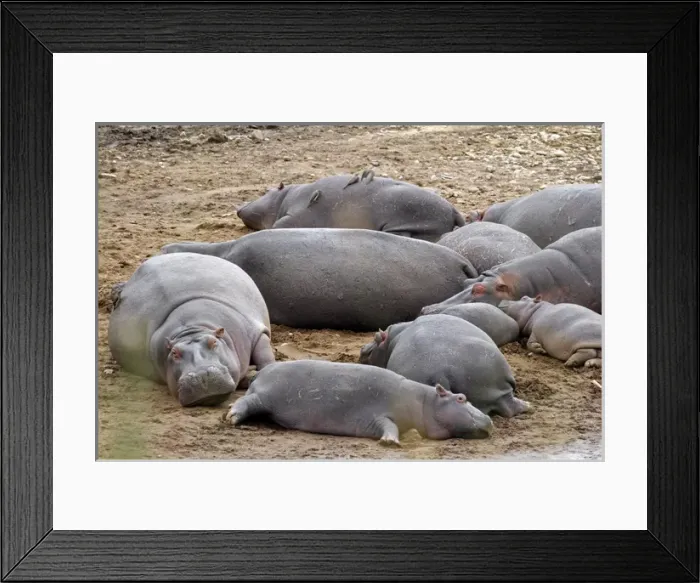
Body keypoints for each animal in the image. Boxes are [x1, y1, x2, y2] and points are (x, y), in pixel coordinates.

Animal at [108, 253, 275, 406]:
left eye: (213, 342)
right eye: (174, 353)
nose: (201, 375)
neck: (192, 328)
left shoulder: (256, 331)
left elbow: (265, 356)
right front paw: (252, 372)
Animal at [223, 360, 494, 444]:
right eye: (461, 398)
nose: (490, 419)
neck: (424, 400)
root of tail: (262, 371)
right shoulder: (378, 414)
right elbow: (389, 426)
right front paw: (390, 442)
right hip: (265, 396)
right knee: (246, 402)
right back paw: (230, 417)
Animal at [236, 171, 465, 242]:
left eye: (266, 190)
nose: (238, 207)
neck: (285, 197)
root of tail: (453, 209)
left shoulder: (295, 215)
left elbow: (279, 224)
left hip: (408, 218)